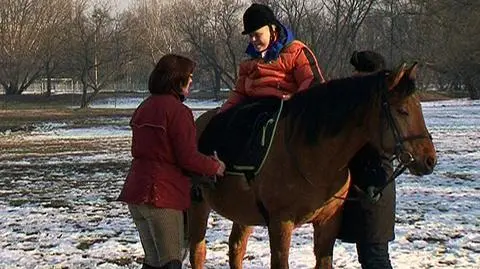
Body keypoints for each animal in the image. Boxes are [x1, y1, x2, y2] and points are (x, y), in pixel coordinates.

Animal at [189, 61, 436, 266]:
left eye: (419, 107)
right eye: (402, 110)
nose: (429, 159)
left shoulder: (328, 224)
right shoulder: (281, 224)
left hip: (244, 213)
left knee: (236, 249)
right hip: (199, 206)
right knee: (198, 253)